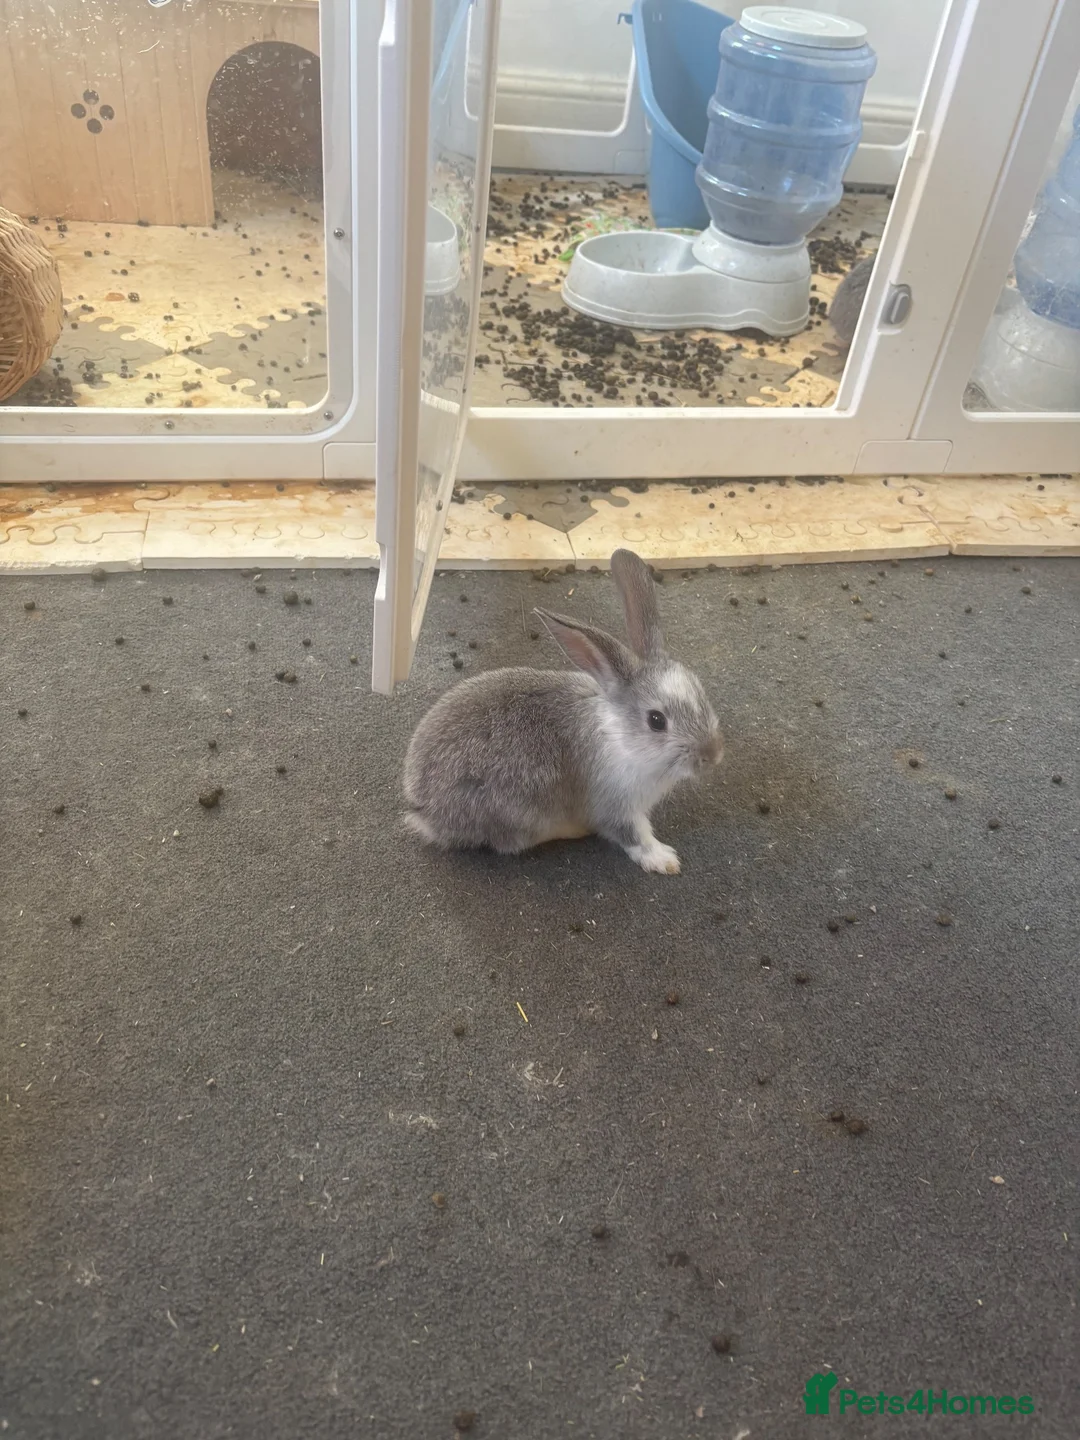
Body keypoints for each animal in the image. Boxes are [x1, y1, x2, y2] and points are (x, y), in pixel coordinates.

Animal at [403, 549, 723, 874]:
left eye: (700, 690)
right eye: (656, 720)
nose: (713, 756)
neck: (621, 738)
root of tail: (422, 809)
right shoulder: (614, 805)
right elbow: (634, 836)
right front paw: (665, 860)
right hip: (515, 811)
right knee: (509, 843)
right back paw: (571, 830)